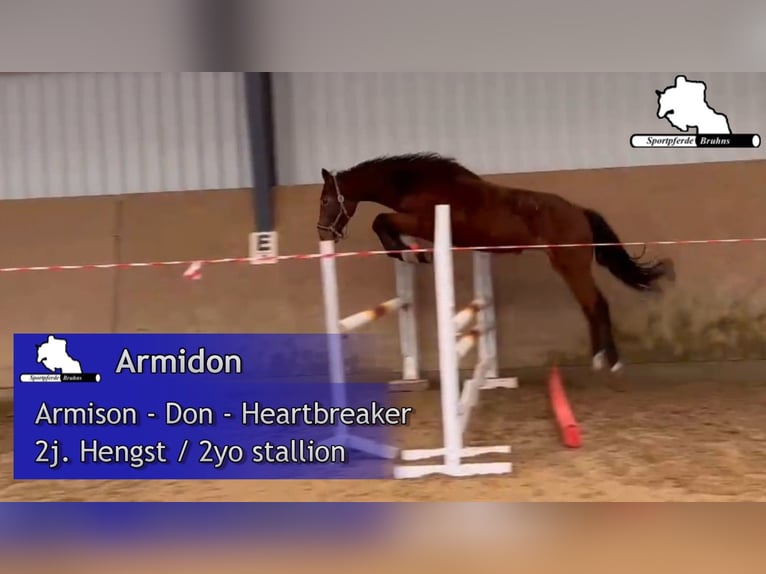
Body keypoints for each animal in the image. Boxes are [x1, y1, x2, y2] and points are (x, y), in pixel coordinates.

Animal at [316, 155, 676, 376]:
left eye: (326, 200)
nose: (323, 233)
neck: (421, 184)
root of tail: (578, 212)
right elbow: (384, 223)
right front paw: (410, 252)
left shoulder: (420, 220)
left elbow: (380, 220)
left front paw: (407, 252)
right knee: (591, 306)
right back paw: (599, 359)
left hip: (571, 266)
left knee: (597, 304)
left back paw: (610, 361)